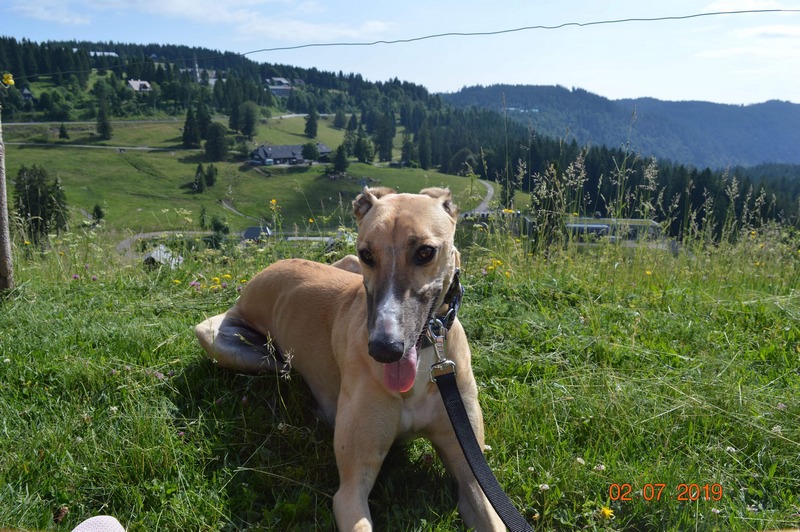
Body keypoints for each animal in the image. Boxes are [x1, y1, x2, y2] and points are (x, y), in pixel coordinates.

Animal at [195, 187, 504, 531]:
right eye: (368, 253)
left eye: (425, 252)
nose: (384, 348)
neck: (425, 359)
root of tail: (269, 267)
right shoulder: (350, 490)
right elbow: (352, 495)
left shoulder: (473, 470)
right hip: (222, 340)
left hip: (345, 264)